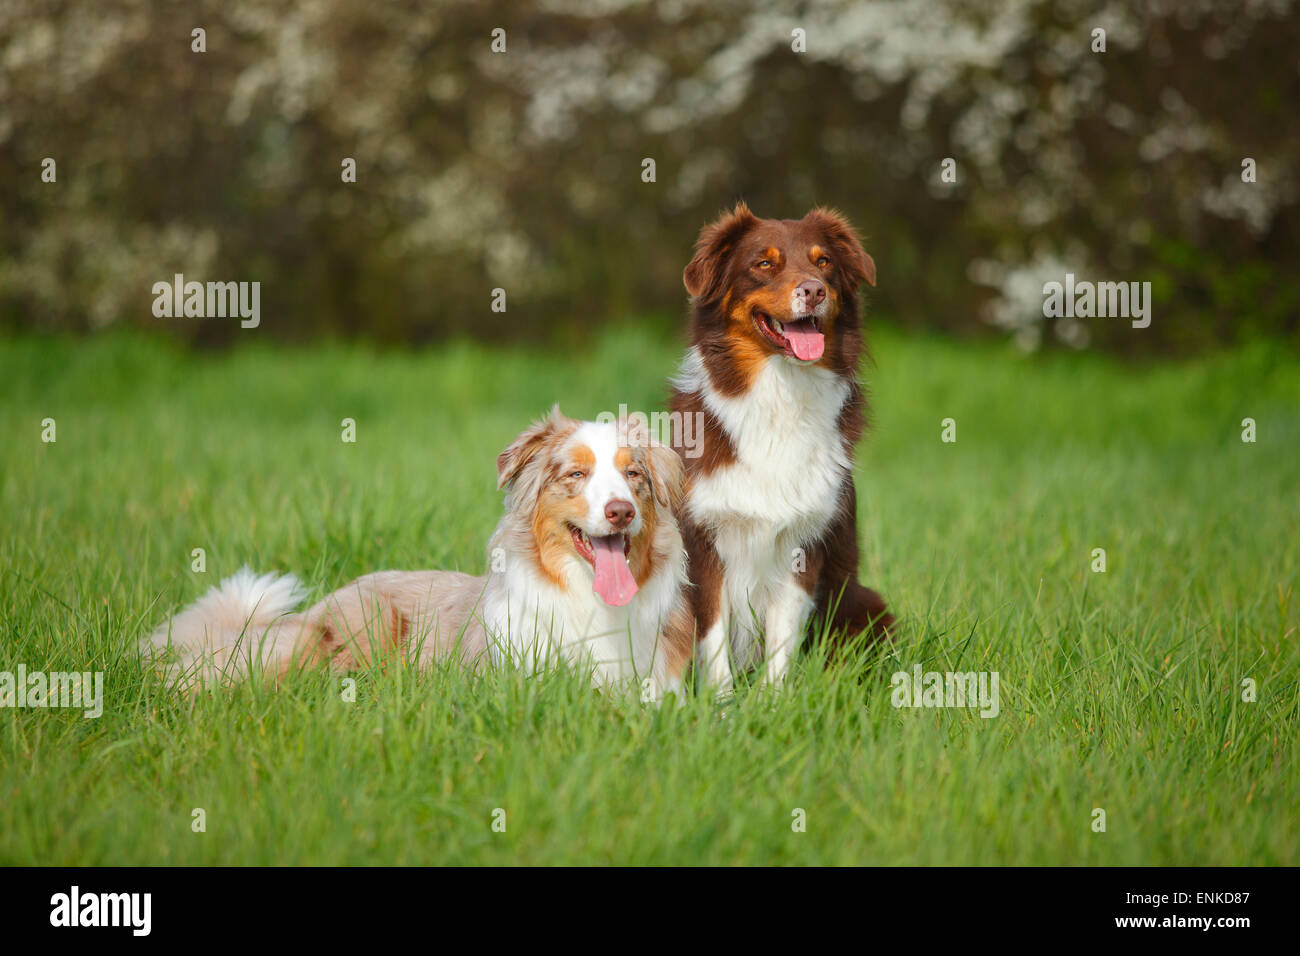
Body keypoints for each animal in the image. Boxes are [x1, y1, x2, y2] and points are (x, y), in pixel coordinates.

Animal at [670, 204, 894, 697]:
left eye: (823, 262)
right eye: (763, 264)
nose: (813, 290)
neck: (780, 394)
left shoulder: (802, 541)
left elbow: (782, 638)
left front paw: (772, 703)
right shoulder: (703, 542)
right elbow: (713, 637)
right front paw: (721, 704)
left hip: (866, 605)